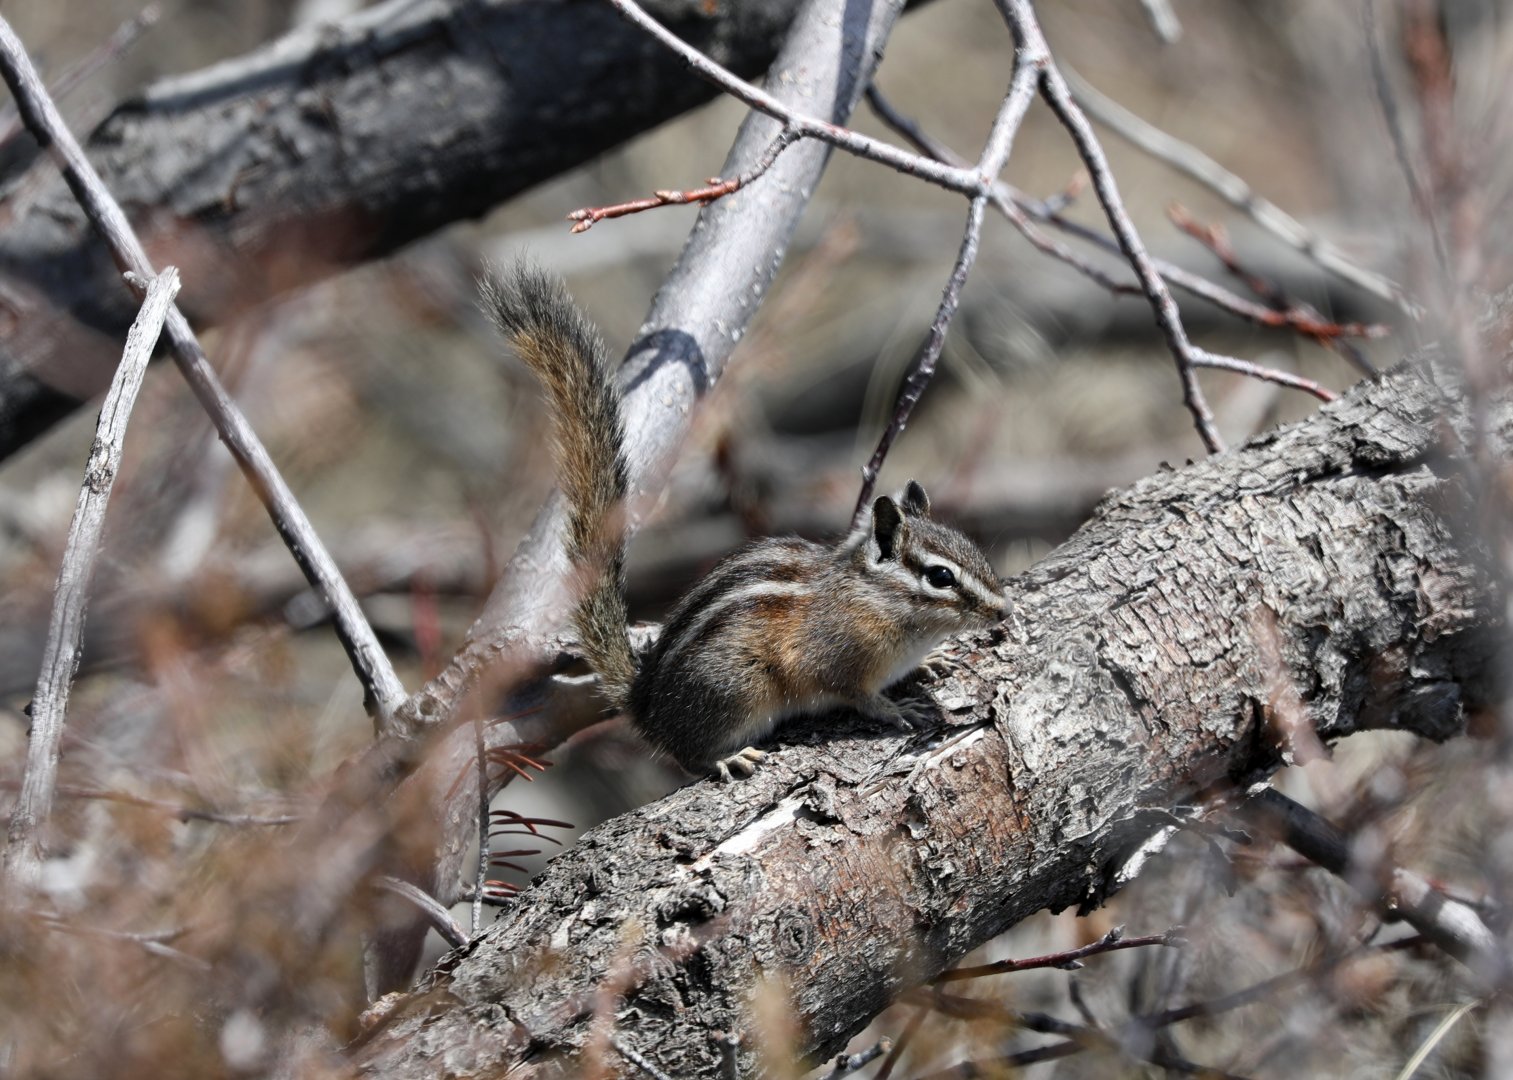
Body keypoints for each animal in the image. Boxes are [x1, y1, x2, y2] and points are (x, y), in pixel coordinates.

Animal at [483, 262, 1009, 781]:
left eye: (969, 545)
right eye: (940, 576)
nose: (1004, 611)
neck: (876, 599)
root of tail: (645, 708)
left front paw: (931, 661)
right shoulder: (837, 660)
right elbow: (857, 694)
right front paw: (895, 709)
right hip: (738, 689)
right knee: (686, 754)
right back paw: (725, 758)